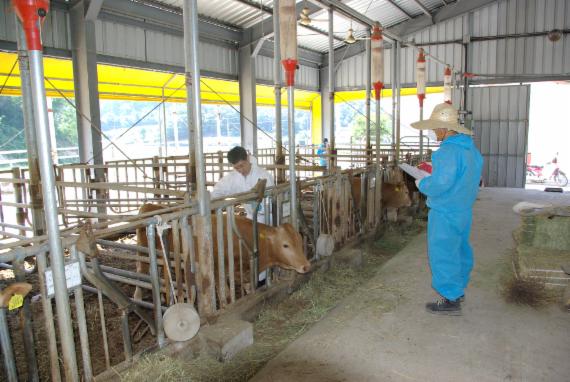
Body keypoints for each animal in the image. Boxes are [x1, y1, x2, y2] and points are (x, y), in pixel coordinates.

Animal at [133, 203, 310, 302]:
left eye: (300, 240)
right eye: (286, 245)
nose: (306, 266)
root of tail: (149, 204)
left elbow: (249, 289)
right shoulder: (218, 273)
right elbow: (226, 296)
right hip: (143, 252)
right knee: (141, 270)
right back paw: (138, 297)